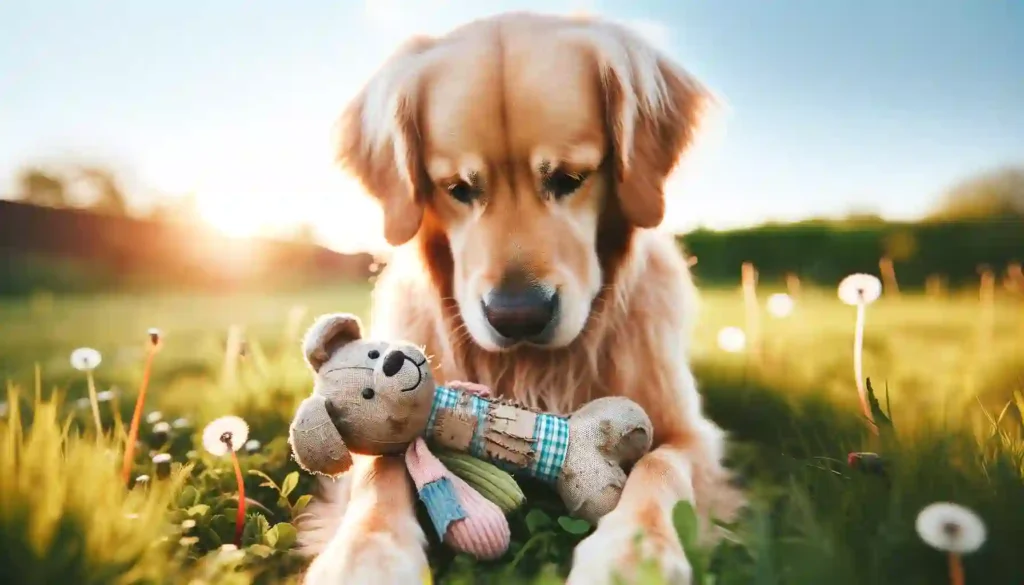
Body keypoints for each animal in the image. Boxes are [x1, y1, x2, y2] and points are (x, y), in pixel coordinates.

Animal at [296, 10, 745, 585]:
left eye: (571, 178)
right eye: (457, 188)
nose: (518, 318)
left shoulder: (690, 435)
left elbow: (661, 467)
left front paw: (633, 556)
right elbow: (378, 470)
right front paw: (365, 554)